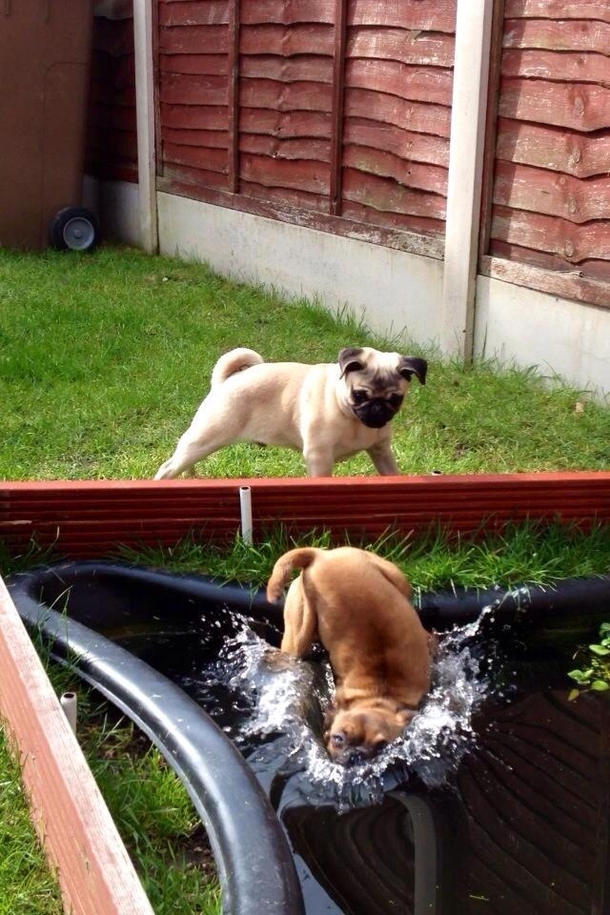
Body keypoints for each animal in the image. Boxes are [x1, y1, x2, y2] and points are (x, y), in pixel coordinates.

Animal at [264, 544, 432, 764]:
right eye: (338, 739)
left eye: (383, 745)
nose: (357, 755)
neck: (380, 695)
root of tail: (319, 555)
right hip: (297, 635)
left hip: (395, 577)